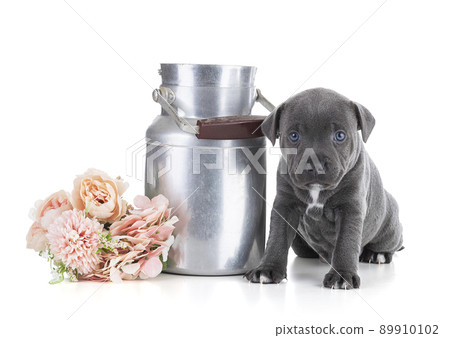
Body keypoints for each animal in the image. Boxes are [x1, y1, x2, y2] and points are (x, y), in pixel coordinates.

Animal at [246, 88, 404, 290]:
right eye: (294, 136)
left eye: (340, 135)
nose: (315, 164)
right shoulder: (285, 205)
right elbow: (277, 237)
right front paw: (267, 269)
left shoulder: (350, 209)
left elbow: (346, 242)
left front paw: (342, 275)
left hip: (389, 225)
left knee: (391, 241)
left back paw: (378, 253)